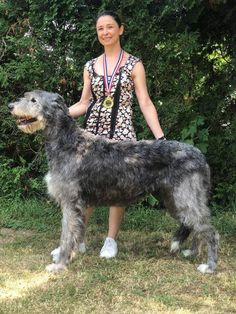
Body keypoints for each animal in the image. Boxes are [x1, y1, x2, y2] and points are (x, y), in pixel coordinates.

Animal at [8, 90, 219, 272]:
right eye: (26, 97)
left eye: (33, 100)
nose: (10, 106)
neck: (68, 142)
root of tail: (201, 156)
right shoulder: (79, 204)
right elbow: (76, 231)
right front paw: (72, 255)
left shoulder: (69, 201)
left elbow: (66, 235)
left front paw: (60, 265)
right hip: (173, 199)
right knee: (194, 226)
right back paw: (192, 252)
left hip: (185, 198)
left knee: (209, 230)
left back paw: (209, 266)